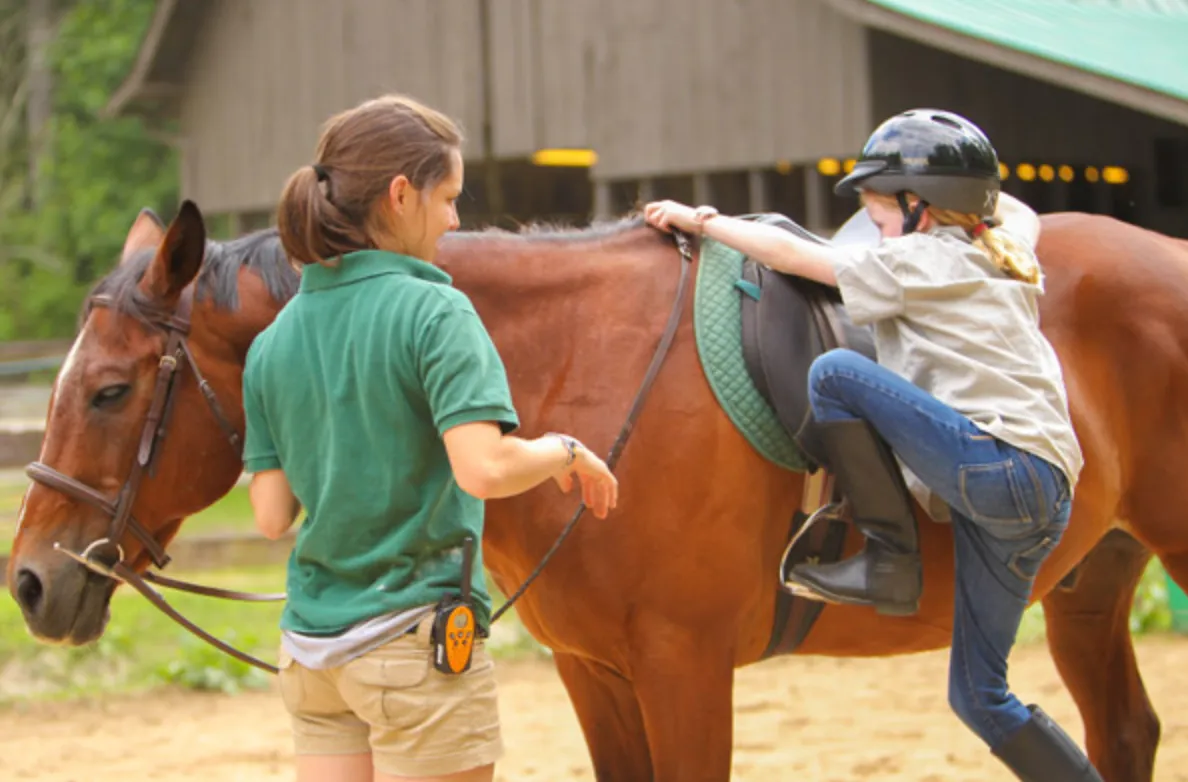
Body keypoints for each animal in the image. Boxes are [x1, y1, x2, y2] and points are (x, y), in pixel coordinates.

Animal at [9, 202, 1188, 779]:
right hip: (1086, 582)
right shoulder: (598, 673)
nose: (29, 583)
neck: (577, 364)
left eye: (111, 390)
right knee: (1125, 734)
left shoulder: (684, 669)